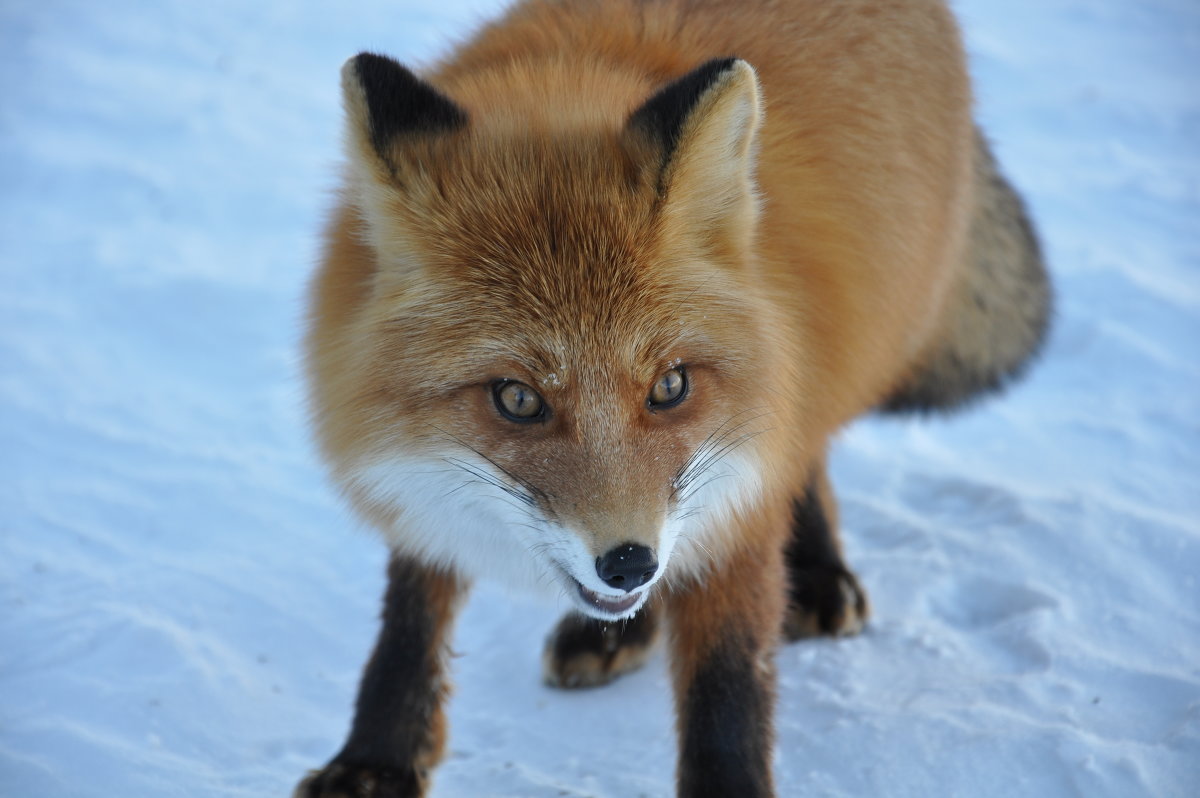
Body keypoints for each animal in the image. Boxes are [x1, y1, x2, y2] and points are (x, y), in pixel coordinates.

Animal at [297, 0, 1051, 792]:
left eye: (669, 386)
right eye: (518, 399)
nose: (628, 563)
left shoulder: (747, 470)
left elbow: (728, 680)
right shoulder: (410, 464)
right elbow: (410, 622)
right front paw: (375, 761)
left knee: (807, 453)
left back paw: (816, 573)